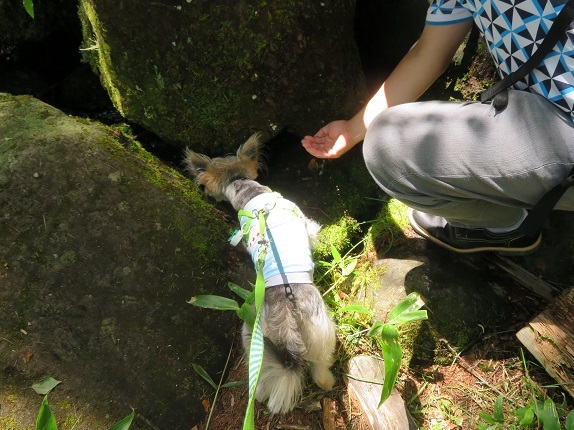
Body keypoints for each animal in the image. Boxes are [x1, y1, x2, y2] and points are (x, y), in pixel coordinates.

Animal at [184, 132, 338, 414]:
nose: (209, 195)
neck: (248, 190)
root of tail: (289, 326)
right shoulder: (306, 224)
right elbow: (312, 234)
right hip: (309, 329)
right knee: (320, 367)